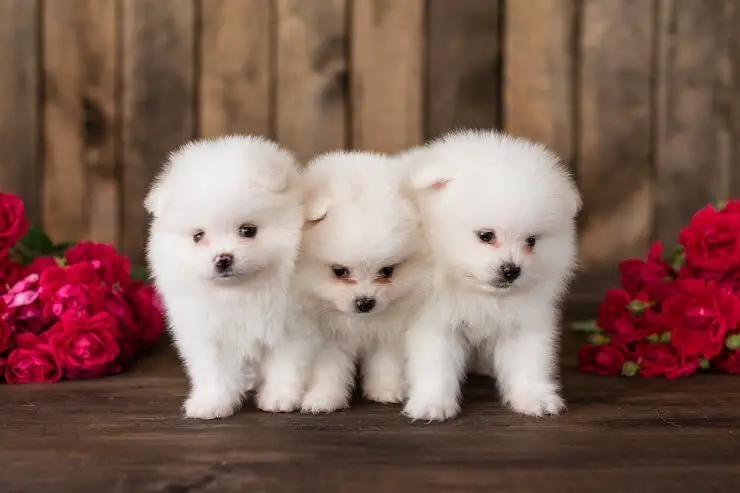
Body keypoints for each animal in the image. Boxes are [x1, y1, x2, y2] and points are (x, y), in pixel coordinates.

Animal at [145, 135, 310, 418]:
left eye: (248, 230)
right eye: (198, 236)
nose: (223, 259)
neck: (241, 291)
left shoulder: (290, 328)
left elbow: (285, 364)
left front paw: (279, 398)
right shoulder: (208, 332)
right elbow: (214, 370)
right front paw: (212, 403)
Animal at [298, 151, 430, 412]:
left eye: (387, 271)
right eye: (339, 271)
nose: (365, 302)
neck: (360, 322)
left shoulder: (389, 330)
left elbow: (386, 361)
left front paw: (386, 390)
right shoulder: (327, 335)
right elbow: (328, 368)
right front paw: (323, 399)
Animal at [398, 130, 584, 418]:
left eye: (531, 241)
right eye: (486, 235)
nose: (511, 270)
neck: (479, 294)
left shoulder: (525, 317)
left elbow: (529, 357)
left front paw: (534, 397)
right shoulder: (434, 318)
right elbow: (435, 362)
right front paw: (432, 403)